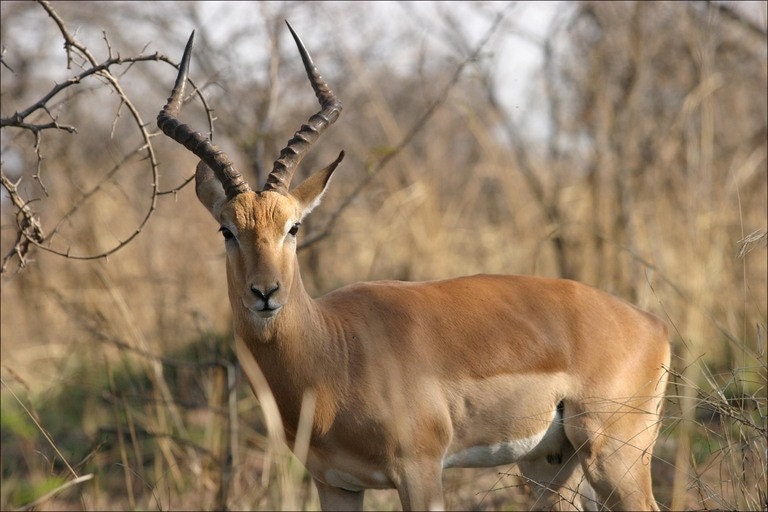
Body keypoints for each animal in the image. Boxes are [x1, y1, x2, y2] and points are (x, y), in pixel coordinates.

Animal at [158, 23, 670, 511]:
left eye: (294, 226)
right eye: (226, 230)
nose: (265, 293)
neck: (334, 351)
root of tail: (650, 323)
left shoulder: (420, 470)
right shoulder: (334, 483)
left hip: (614, 456)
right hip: (551, 464)